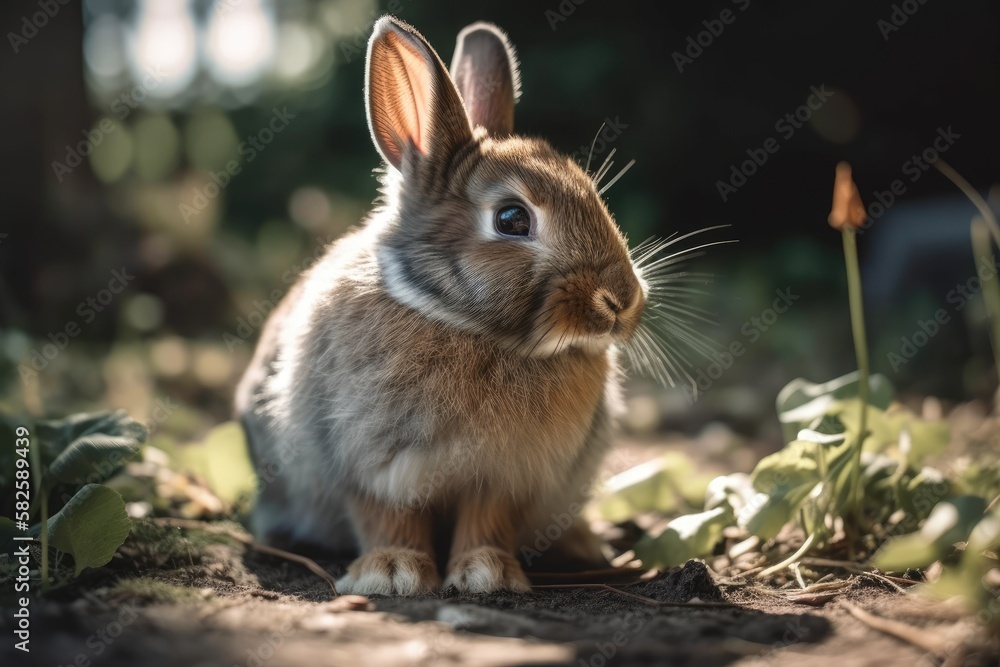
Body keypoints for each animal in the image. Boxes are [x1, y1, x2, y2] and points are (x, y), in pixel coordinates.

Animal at [234, 15, 648, 596]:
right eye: (512, 219)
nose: (623, 301)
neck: (462, 324)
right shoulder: (372, 470)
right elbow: (387, 518)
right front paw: (392, 573)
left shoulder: (503, 477)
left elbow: (487, 520)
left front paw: (487, 573)